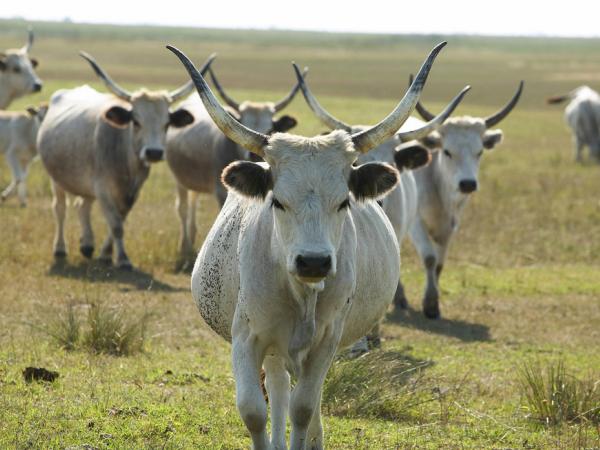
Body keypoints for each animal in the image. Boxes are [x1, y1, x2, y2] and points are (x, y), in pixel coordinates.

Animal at [35, 51, 213, 268]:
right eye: (135, 121)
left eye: (167, 123)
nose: (154, 152)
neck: (126, 161)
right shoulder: (103, 188)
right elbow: (116, 224)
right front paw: (123, 259)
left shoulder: (132, 193)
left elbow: (120, 219)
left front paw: (106, 253)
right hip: (57, 179)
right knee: (60, 209)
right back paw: (60, 249)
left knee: (83, 206)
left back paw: (87, 245)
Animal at [164, 62, 304, 268]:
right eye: (242, 121)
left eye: (270, 127)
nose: (253, 154)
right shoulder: (221, 190)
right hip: (180, 180)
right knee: (182, 209)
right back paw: (185, 248)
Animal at [404, 75, 524, 318]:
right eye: (447, 151)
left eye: (480, 151)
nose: (468, 183)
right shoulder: (416, 223)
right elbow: (429, 258)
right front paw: (430, 303)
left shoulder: (451, 226)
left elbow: (439, 263)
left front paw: (435, 301)